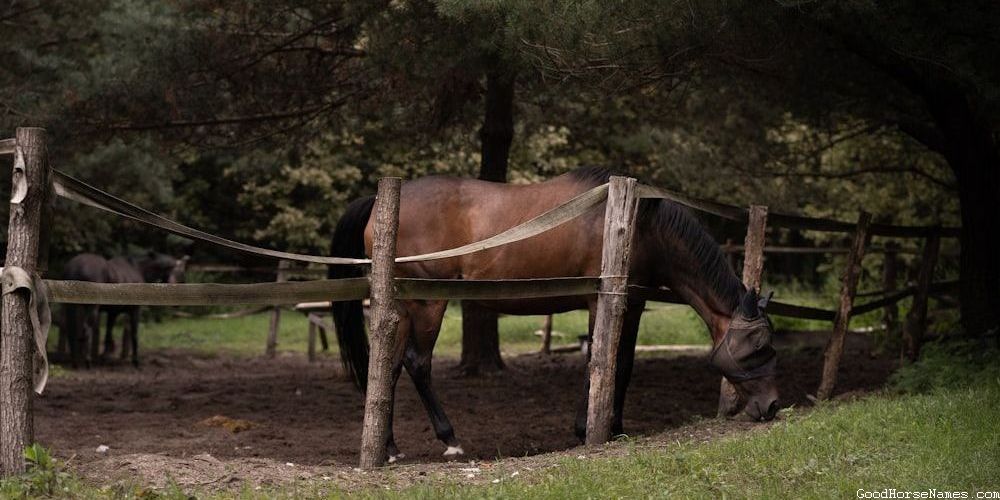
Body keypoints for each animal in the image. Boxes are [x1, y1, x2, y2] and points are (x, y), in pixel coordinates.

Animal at [329, 167, 779, 461]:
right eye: (758, 346)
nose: (773, 407)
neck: (640, 222)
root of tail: (379, 202)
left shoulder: (631, 304)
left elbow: (624, 365)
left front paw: (616, 427)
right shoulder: (601, 302)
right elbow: (600, 363)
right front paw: (587, 430)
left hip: (402, 307)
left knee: (388, 368)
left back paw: (389, 448)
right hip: (428, 304)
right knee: (418, 363)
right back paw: (449, 440)